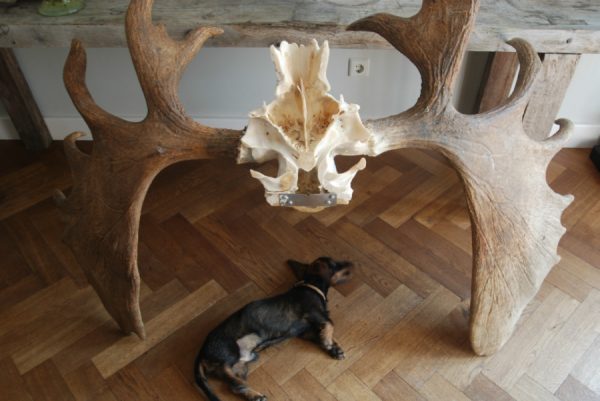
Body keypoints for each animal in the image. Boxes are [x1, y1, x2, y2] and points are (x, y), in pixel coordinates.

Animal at [193, 256, 352, 400]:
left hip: (241, 365)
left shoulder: (306, 331)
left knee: (235, 386)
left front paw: (335, 349)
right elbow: (330, 324)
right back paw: (254, 394)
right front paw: (328, 343)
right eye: (335, 264)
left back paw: (253, 395)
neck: (311, 286)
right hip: (230, 353)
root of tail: (201, 353)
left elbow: (323, 334)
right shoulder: (314, 314)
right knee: (231, 378)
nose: (351, 263)